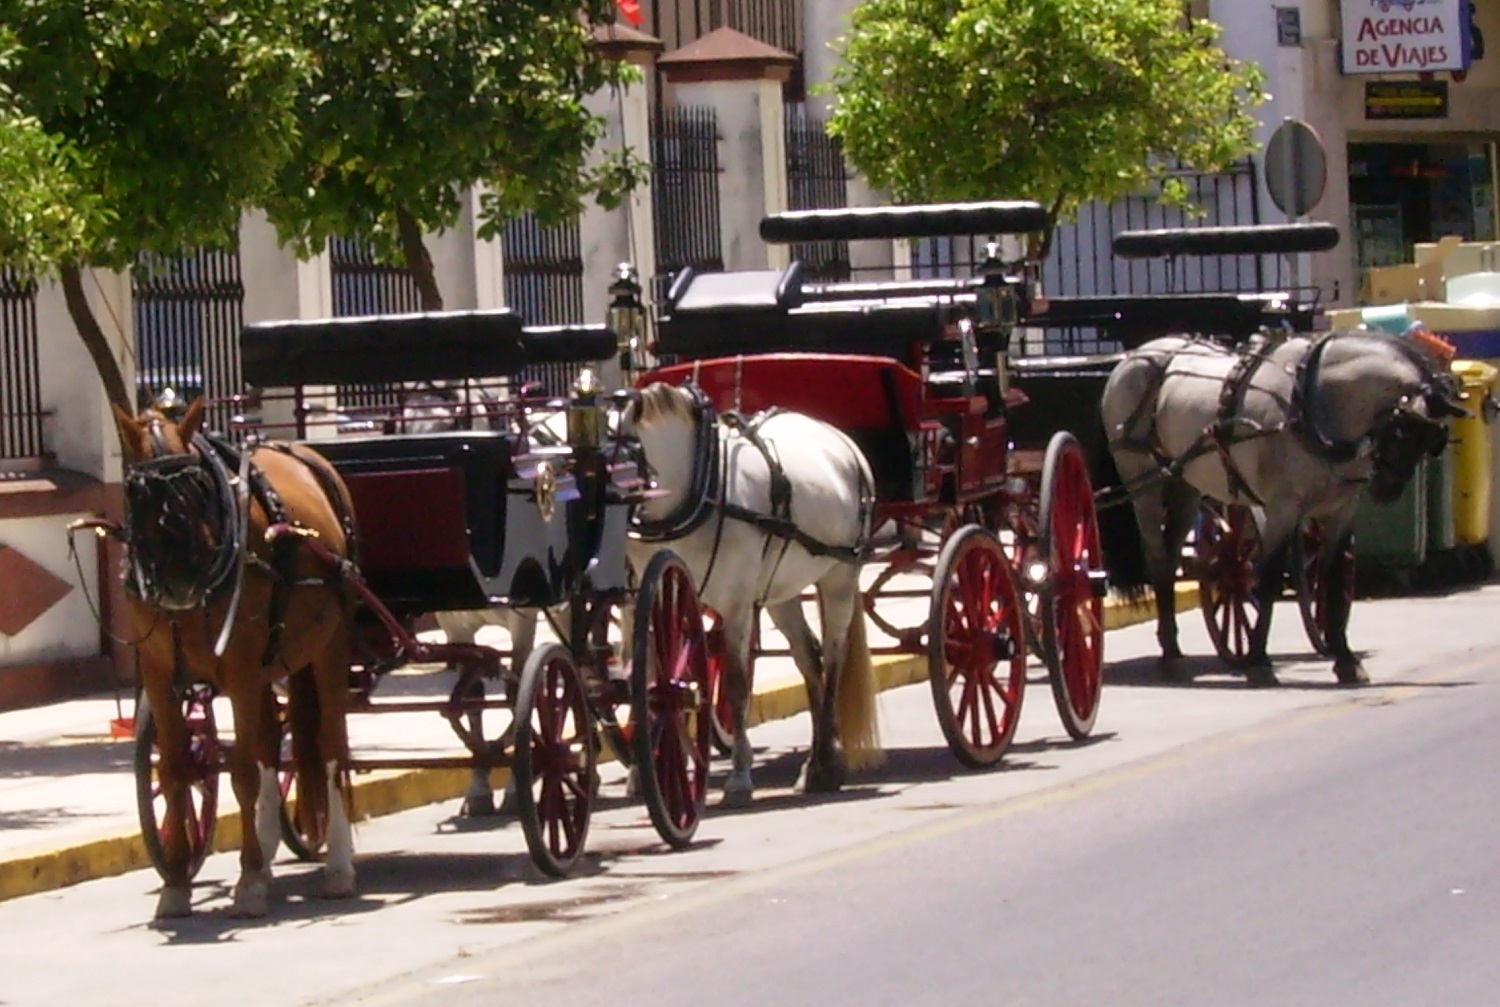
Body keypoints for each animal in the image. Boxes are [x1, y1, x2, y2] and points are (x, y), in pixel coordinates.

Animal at [112, 399, 358, 918]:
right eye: (137, 493)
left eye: (196, 487)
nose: (179, 585)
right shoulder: (159, 674)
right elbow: (176, 769)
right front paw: (177, 883)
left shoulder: (241, 669)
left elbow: (243, 772)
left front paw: (247, 883)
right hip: (271, 665)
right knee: (270, 742)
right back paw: (265, 851)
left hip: (327, 647)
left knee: (329, 745)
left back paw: (338, 866)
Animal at [618, 382, 876, 810]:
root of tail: (840, 440)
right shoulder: (655, 600)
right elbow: (651, 680)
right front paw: (647, 771)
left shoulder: (737, 605)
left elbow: (737, 687)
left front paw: (739, 775)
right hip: (781, 591)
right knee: (810, 657)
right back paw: (819, 764)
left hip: (839, 577)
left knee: (834, 658)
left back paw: (827, 762)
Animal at [1098, 328, 1458, 684]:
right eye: (1400, 430)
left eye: (1433, 441)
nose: (1386, 490)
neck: (1312, 400)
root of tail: (1137, 354)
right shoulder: (1282, 508)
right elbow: (1268, 576)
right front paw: (1259, 660)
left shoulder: (1341, 509)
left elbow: (1333, 579)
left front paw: (1344, 658)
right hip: (1141, 478)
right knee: (1158, 558)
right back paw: (1172, 655)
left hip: (1184, 482)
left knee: (1171, 555)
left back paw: (1172, 647)